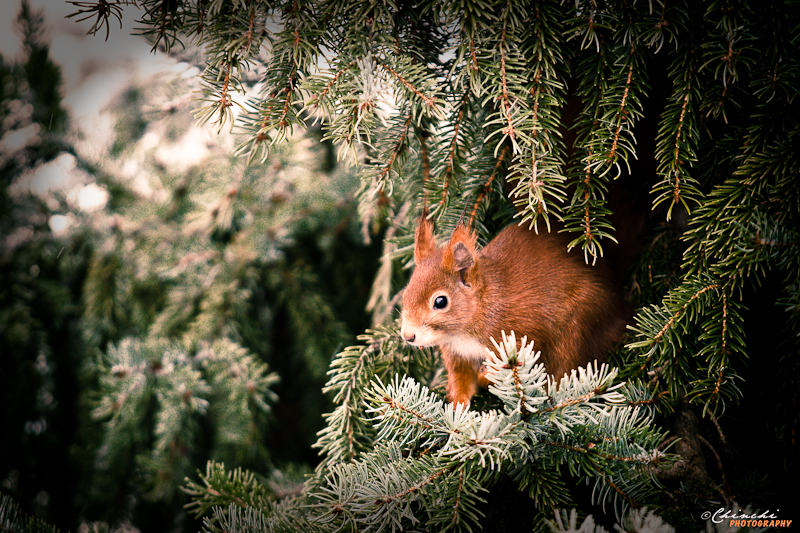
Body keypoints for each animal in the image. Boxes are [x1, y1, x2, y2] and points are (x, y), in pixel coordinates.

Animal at [404, 215, 628, 404]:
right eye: (406, 292)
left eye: (440, 302)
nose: (408, 336)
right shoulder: (458, 354)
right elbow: (462, 381)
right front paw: (458, 408)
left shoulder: (522, 332)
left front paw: (485, 375)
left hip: (579, 329)